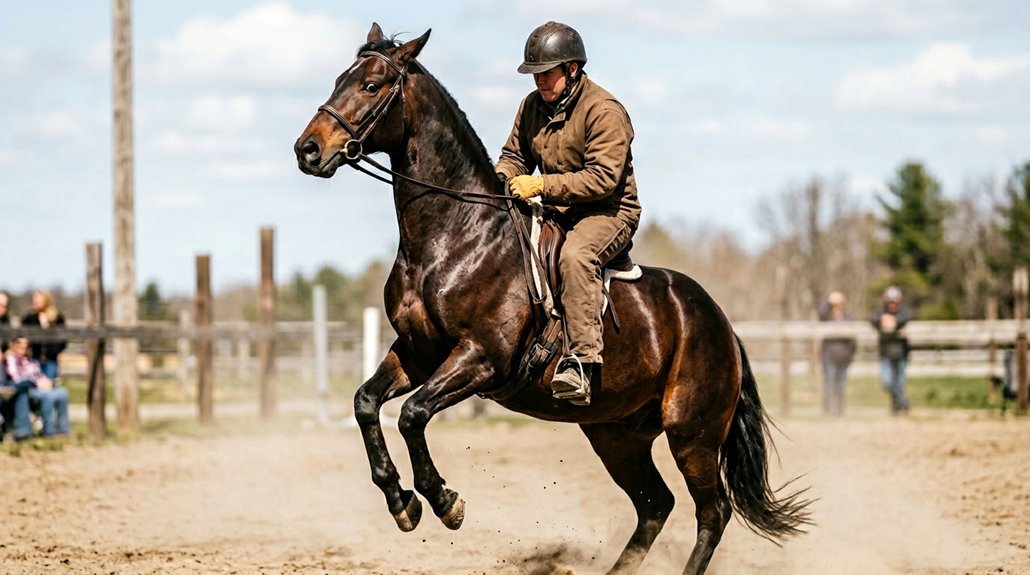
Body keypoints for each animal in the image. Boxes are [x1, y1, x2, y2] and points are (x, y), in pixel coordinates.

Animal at [294, 23, 810, 575]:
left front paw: (443, 501)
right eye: (338, 80)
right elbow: (366, 403)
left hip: (692, 433)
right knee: (655, 505)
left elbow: (412, 415)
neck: (455, 237)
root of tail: (721, 324)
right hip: (615, 433)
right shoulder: (418, 353)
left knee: (711, 514)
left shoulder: (480, 358)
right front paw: (400, 501)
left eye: (371, 86)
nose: (308, 150)